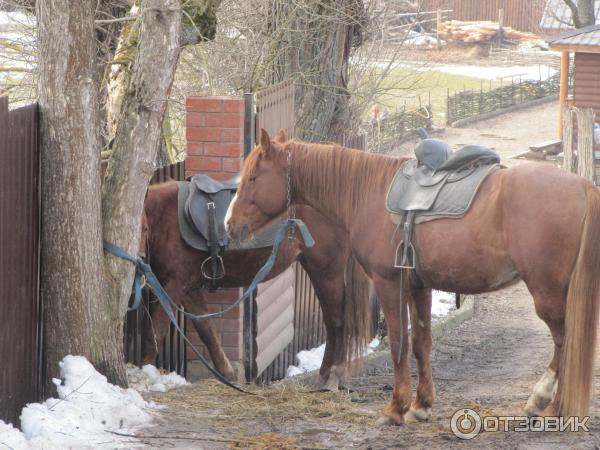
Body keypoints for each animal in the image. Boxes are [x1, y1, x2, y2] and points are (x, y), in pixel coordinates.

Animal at [143, 172, 372, 386]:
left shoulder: (173, 286)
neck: (163, 219)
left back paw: (329, 376)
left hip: (326, 271)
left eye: (144, 228)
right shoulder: (188, 289)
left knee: (336, 322)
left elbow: (155, 331)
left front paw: (145, 372)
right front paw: (227, 374)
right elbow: (207, 330)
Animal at [229, 128, 600, 424]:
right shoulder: (419, 287)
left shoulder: (389, 284)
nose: (230, 225)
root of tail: (583, 186)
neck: (369, 192)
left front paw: (396, 407)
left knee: (565, 341)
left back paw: (547, 404)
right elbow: (422, 343)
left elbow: (398, 344)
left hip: (548, 293)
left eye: (254, 177)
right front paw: (422, 405)